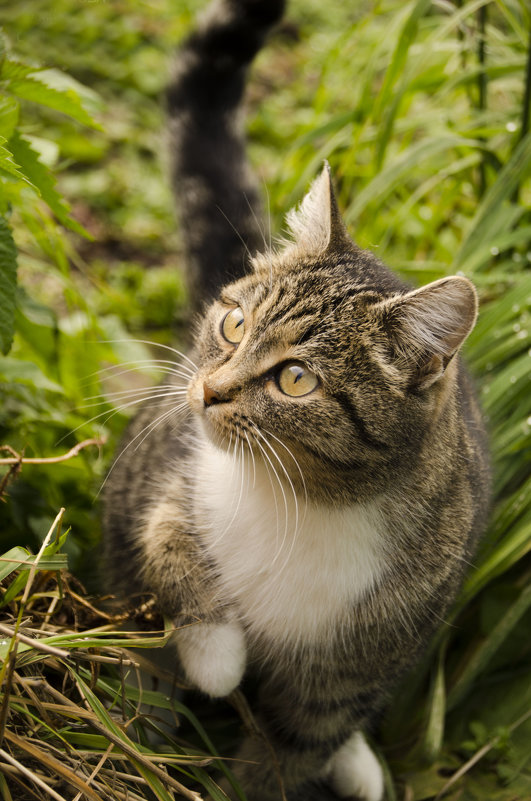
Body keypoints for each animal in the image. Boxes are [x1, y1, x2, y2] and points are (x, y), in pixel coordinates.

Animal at [103, 1, 490, 800]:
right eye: (234, 323)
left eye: (295, 380)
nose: (209, 390)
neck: (300, 501)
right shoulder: (167, 467)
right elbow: (166, 534)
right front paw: (217, 655)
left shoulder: (357, 664)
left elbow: (296, 747)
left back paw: (360, 764)